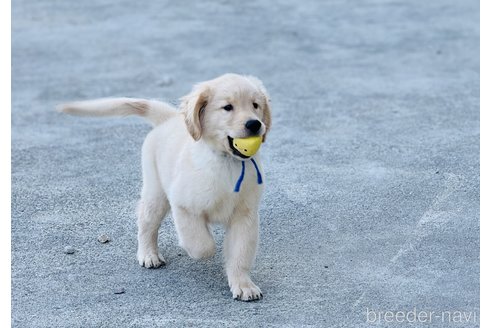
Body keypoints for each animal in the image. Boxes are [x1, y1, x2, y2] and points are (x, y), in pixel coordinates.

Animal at [60, 73, 272, 302]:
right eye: (227, 107)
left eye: (255, 105)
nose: (254, 124)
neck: (227, 163)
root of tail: (168, 118)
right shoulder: (183, 206)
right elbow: (202, 245)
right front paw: (202, 249)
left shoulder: (245, 215)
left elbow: (240, 254)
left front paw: (243, 286)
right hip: (156, 193)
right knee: (146, 222)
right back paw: (148, 255)